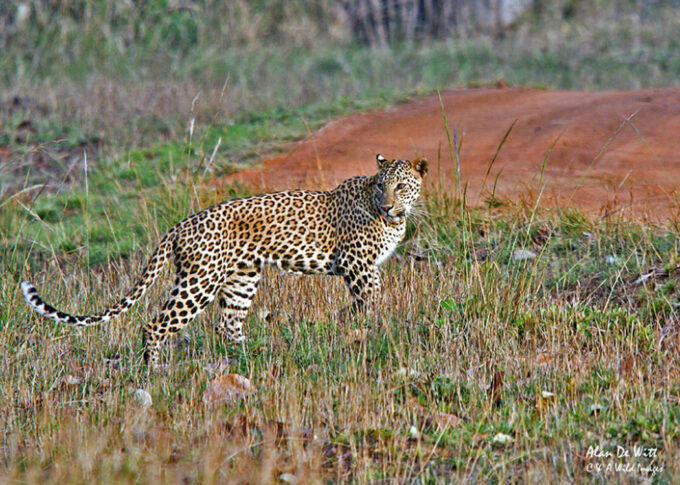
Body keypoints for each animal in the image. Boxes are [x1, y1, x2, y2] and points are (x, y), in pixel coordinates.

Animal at [21, 154, 428, 367]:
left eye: (401, 186)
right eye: (381, 185)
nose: (387, 205)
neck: (395, 219)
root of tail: (180, 224)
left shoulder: (364, 268)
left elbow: (368, 299)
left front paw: (353, 323)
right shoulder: (358, 265)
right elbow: (371, 299)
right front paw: (372, 331)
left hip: (241, 279)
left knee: (227, 326)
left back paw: (254, 356)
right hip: (198, 282)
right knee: (155, 325)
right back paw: (154, 371)